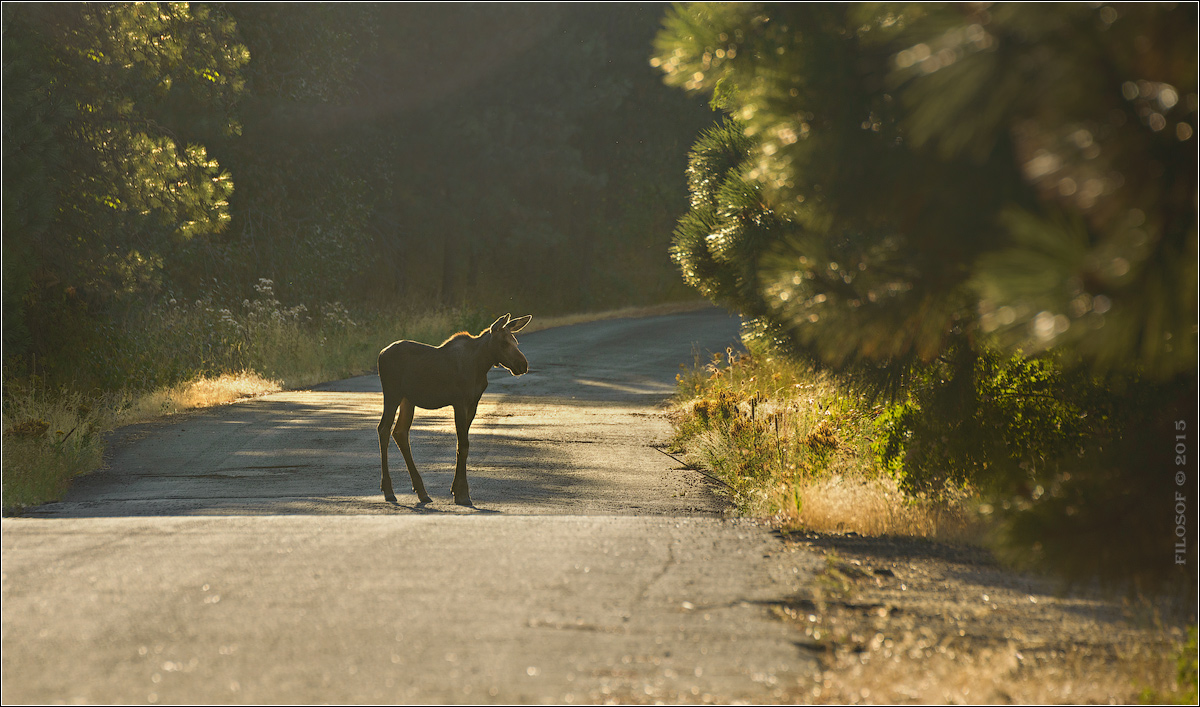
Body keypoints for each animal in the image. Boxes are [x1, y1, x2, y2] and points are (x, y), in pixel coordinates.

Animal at [372, 312, 528, 504]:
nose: (523, 365)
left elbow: (463, 445)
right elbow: (463, 444)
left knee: (400, 432)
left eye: (515, 341)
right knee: (384, 429)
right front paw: (462, 493)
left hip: (407, 399)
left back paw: (421, 491)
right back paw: (388, 490)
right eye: (504, 342)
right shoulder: (459, 402)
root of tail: (380, 354)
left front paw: (456, 490)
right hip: (392, 394)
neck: (480, 365)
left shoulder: (473, 403)